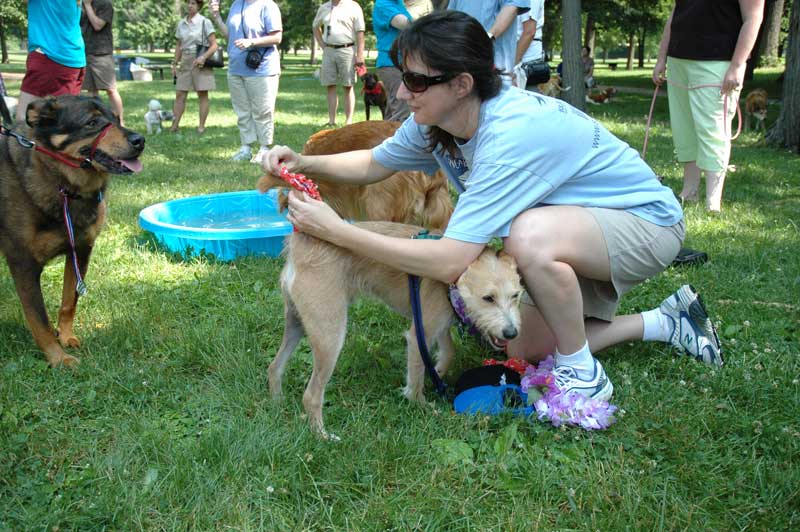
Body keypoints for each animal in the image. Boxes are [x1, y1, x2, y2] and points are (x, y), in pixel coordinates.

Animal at [1, 95, 145, 368]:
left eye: (116, 118)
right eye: (92, 123)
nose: (140, 140)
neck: (65, 186)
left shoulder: (80, 250)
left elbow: (69, 301)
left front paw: (65, 337)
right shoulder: (24, 264)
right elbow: (40, 320)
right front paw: (57, 358)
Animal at [268, 221, 524, 440]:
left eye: (516, 295)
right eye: (488, 298)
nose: (511, 333)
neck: (451, 285)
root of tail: (301, 246)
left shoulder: (436, 326)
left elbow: (448, 352)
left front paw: (438, 371)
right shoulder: (419, 335)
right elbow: (416, 379)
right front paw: (421, 405)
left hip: (297, 324)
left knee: (274, 367)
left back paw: (278, 403)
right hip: (330, 337)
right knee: (311, 396)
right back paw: (322, 436)